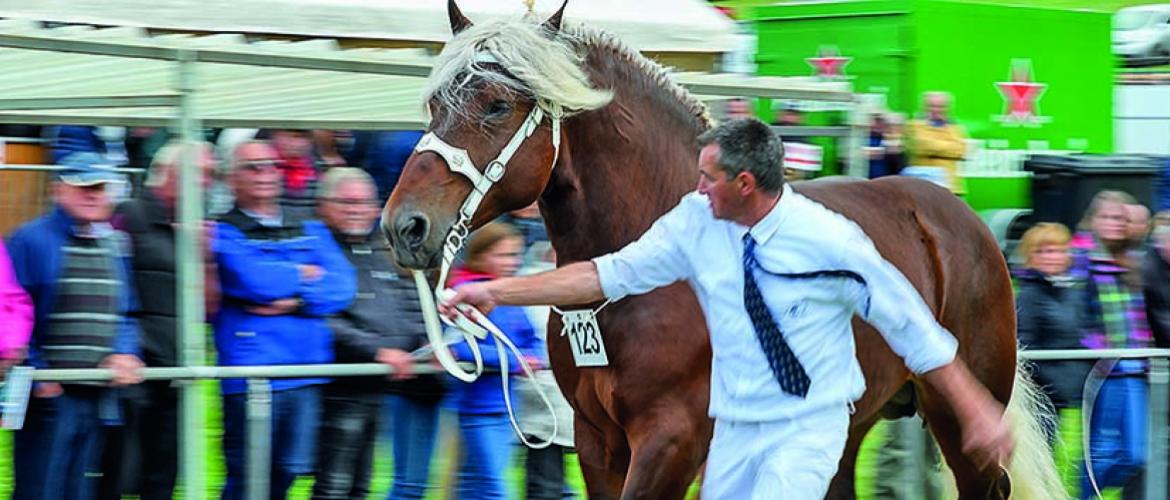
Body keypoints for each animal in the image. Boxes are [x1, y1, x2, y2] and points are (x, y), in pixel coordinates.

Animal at [383, 2, 1062, 496]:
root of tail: (956, 219)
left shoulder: (671, 441)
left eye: (497, 104)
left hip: (959, 416)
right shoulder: (597, 440)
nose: (404, 227)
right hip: (847, 426)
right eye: (435, 103)